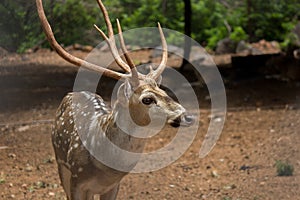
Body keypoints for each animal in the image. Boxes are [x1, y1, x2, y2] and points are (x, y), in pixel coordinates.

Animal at [36, 0, 195, 199]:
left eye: (163, 90)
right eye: (147, 99)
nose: (188, 116)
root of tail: (73, 93)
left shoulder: (113, 186)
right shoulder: (76, 179)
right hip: (60, 160)